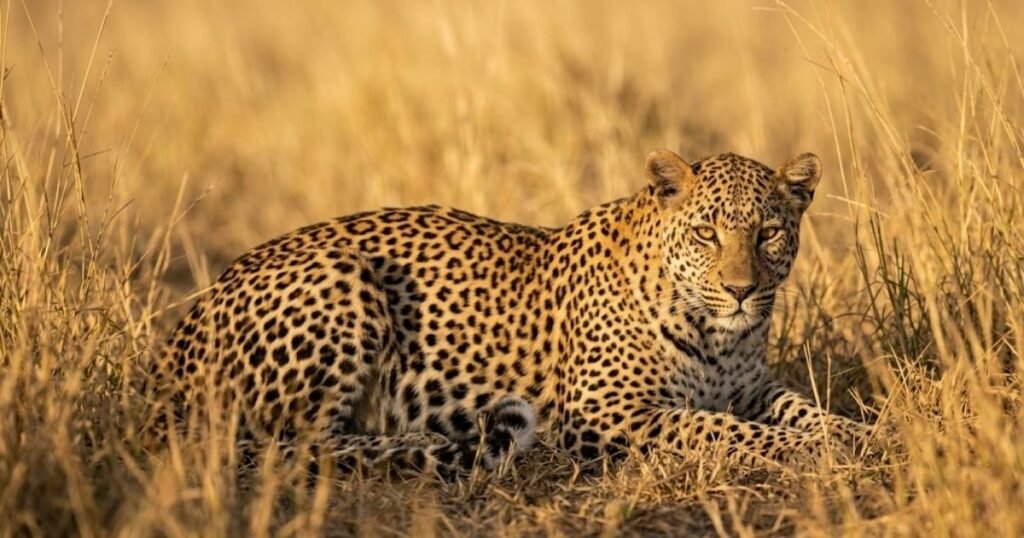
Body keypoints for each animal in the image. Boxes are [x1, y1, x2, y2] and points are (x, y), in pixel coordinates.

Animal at [144, 149, 872, 479]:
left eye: (769, 233)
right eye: (706, 234)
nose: (743, 290)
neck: (716, 335)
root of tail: (166, 360)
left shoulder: (755, 386)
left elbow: (802, 409)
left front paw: (861, 432)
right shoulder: (606, 413)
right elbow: (718, 429)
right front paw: (808, 449)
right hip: (341, 277)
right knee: (293, 444)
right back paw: (429, 445)